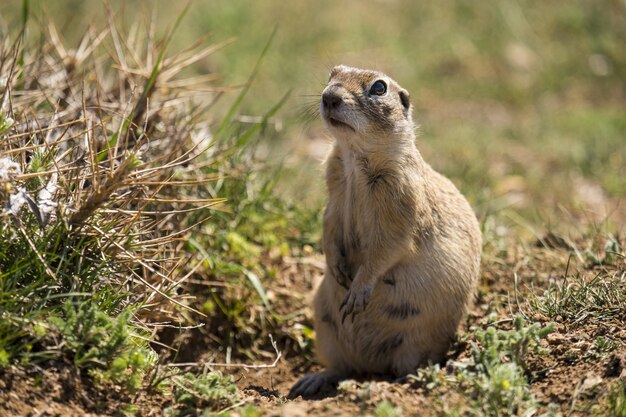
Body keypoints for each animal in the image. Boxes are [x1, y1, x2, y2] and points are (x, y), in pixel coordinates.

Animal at [286, 65, 480, 396]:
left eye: (379, 88)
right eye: (333, 73)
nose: (329, 96)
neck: (354, 159)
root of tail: (372, 366)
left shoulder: (402, 200)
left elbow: (387, 247)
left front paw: (356, 292)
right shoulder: (334, 196)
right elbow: (329, 226)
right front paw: (336, 270)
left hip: (418, 340)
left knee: (410, 365)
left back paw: (404, 381)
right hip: (327, 332)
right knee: (343, 367)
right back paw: (312, 380)